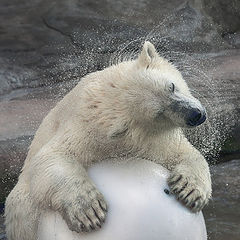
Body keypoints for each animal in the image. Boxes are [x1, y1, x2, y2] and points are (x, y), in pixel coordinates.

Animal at [3, 41, 210, 240]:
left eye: (171, 87)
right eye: (159, 113)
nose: (196, 115)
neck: (110, 97)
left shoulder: (147, 143)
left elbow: (181, 153)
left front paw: (188, 190)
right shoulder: (88, 132)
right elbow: (52, 156)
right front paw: (88, 211)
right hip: (22, 209)